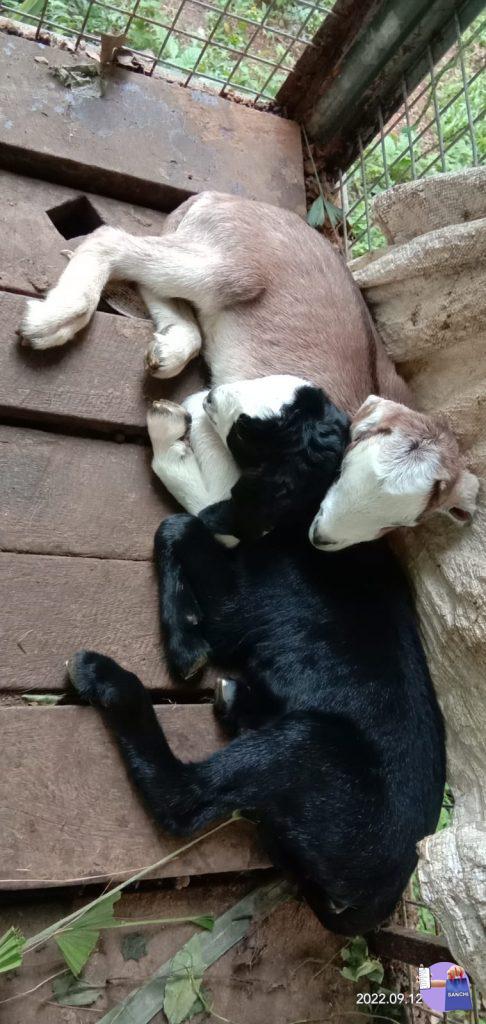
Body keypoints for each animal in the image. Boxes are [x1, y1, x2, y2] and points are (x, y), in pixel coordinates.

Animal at [20, 192, 478, 547]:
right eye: (344, 470)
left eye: (400, 523)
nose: (321, 539)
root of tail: (218, 197)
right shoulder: (214, 416)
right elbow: (221, 523)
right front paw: (168, 432)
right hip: (224, 272)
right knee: (111, 241)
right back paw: (52, 321)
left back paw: (168, 350)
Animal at [68, 380, 446, 935]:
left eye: (248, 431)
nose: (208, 397)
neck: (301, 518)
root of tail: (382, 888)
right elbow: (187, 522)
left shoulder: (237, 607)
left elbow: (178, 525)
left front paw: (185, 643)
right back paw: (235, 700)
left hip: (306, 747)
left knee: (184, 797)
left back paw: (108, 680)